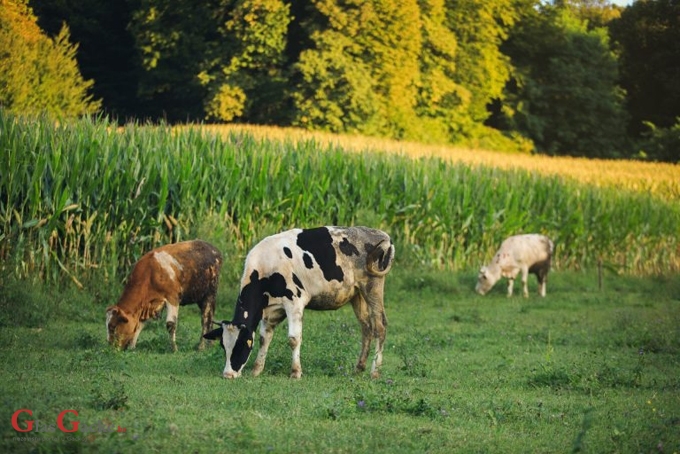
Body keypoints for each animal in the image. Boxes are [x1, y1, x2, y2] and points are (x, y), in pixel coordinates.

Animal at [203, 226, 394, 380]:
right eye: (223, 346)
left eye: (240, 345)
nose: (228, 374)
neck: (266, 267)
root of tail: (382, 234)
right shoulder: (271, 309)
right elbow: (265, 338)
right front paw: (257, 370)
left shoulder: (294, 302)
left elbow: (294, 339)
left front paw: (295, 372)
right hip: (357, 294)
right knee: (366, 327)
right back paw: (359, 368)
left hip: (373, 286)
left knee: (380, 326)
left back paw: (374, 371)